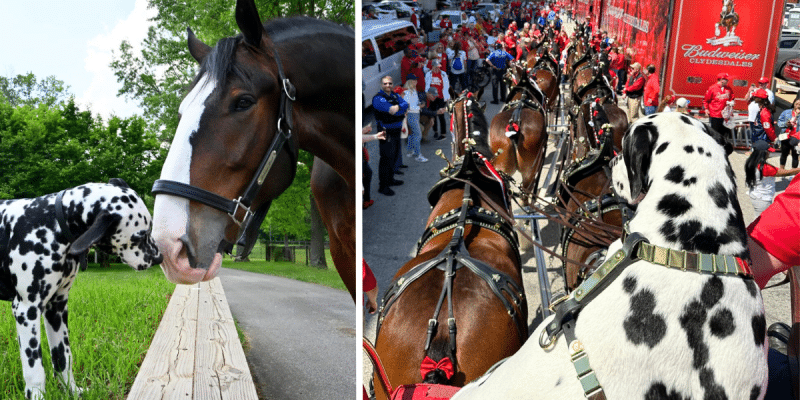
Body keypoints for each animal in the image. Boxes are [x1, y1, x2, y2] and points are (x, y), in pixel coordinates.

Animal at [0, 180, 162, 398]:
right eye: (140, 236)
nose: (160, 258)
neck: (51, 225)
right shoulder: (27, 310)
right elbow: (35, 369)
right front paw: (37, 395)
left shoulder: (56, 308)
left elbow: (63, 358)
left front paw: (72, 391)